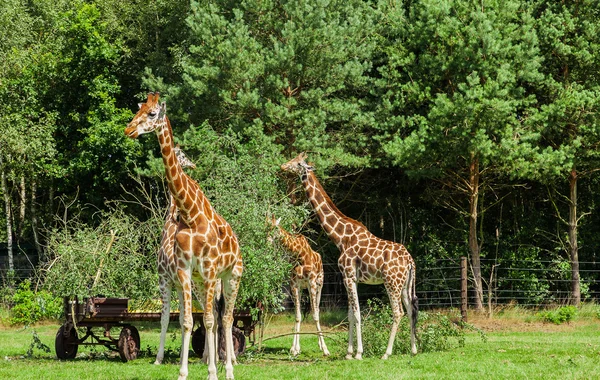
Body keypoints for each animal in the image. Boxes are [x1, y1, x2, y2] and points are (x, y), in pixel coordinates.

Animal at [125, 93, 244, 380]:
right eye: (139, 110)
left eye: (153, 114)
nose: (128, 130)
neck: (190, 214)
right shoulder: (184, 271)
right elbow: (187, 320)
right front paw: (183, 371)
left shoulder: (209, 270)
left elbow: (209, 320)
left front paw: (213, 372)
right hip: (202, 282)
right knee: (214, 317)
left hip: (231, 276)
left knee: (226, 318)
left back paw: (228, 369)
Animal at [268, 215, 330, 358]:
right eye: (265, 227)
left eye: (275, 228)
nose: (267, 241)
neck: (298, 254)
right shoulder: (294, 284)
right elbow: (297, 316)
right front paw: (294, 349)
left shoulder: (312, 282)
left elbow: (315, 315)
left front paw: (325, 349)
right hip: (303, 288)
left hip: (319, 285)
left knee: (317, 309)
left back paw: (321, 345)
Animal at [282, 152, 418, 360]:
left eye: (298, 163)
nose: (283, 166)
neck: (340, 238)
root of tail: (410, 261)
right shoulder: (349, 278)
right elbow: (350, 315)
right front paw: (348, 352)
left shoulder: (349, 276)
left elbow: (357, 313)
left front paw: (359, 353)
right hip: (405, 284)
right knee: (410, 310)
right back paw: (413, 349)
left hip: (391, 282)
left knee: (398, 312)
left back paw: (386, 353)